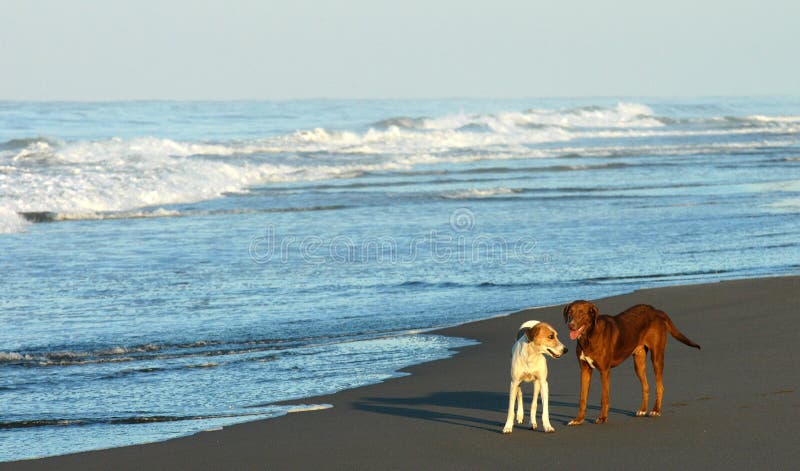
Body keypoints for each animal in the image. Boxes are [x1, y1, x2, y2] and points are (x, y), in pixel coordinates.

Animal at [564, 302, 700, 428]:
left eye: (581, 313)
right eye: (570, 312)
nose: (570, 325)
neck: (588, 337)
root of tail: (655, 310)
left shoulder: (604, 371)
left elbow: (604, 397)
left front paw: (602, 418)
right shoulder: (584, 370)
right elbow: (582, 398)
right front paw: (578, 419)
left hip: (657, 357)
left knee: (660, 386)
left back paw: (656, 410)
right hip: (638, 363)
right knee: (646, 386)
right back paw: (643, 410)